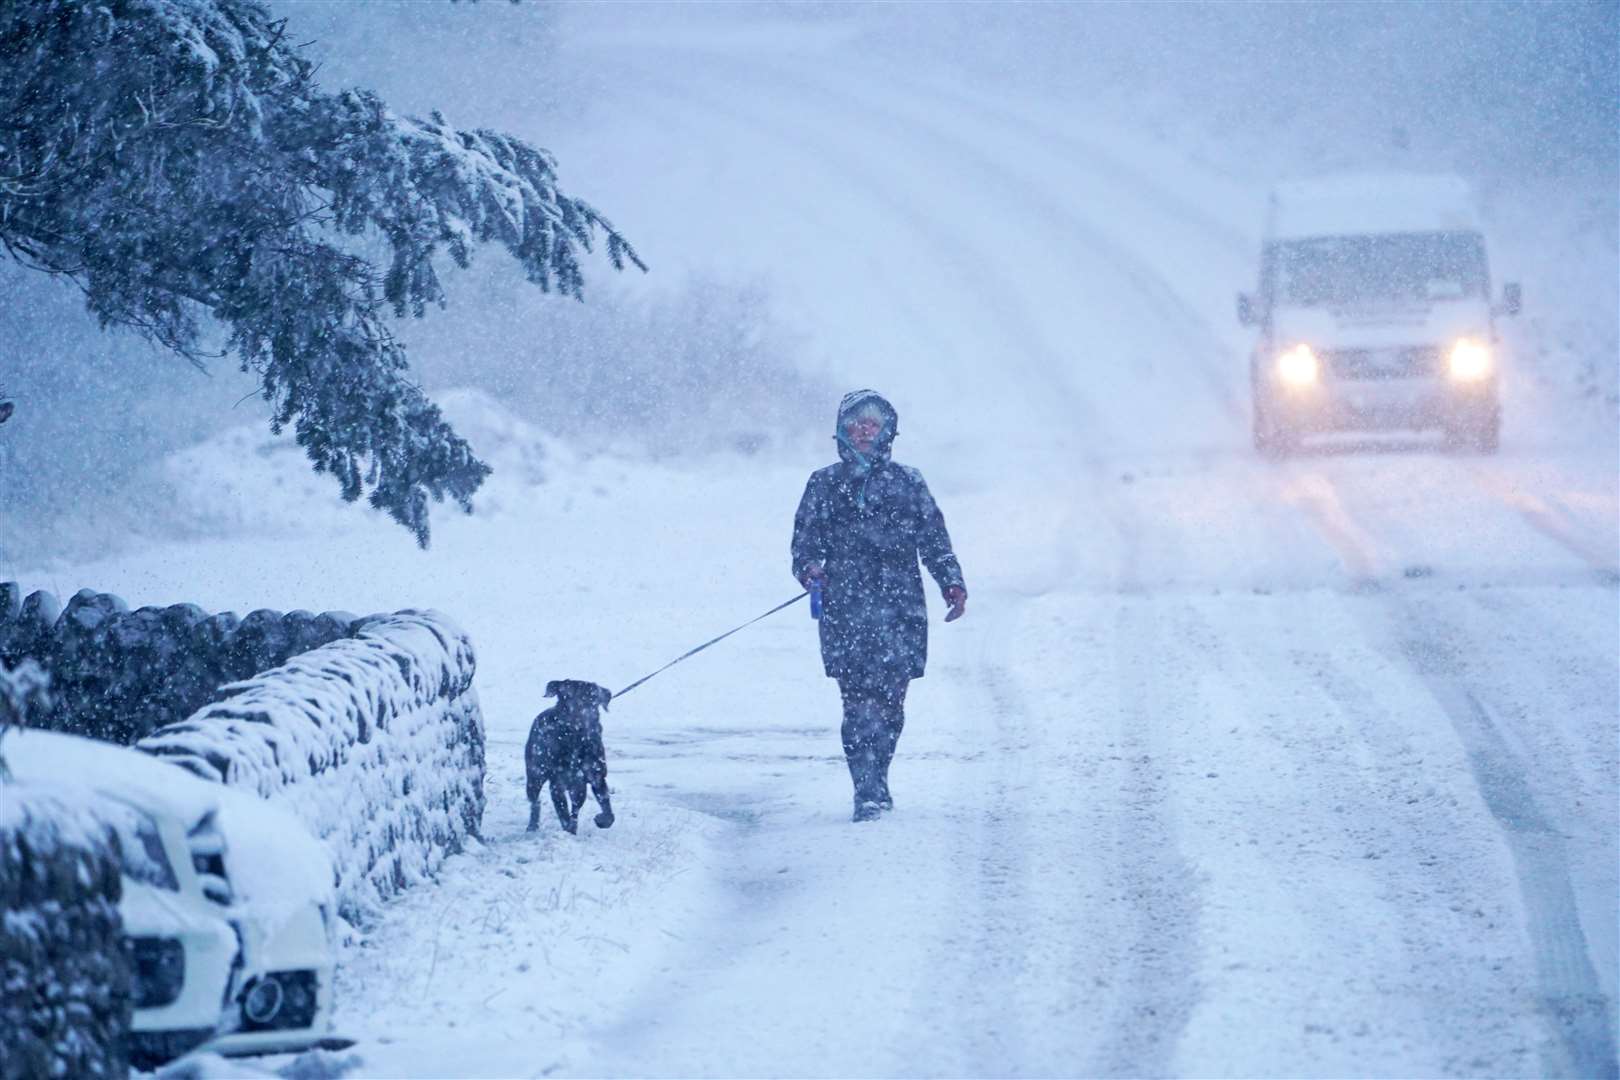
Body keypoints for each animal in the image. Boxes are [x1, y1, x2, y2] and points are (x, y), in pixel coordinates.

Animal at [524, 683, 612, 835]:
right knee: (535, 801)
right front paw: (567, 831)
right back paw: (533, 825)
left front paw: (602, 819)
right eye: (567, 697)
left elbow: (606, 805)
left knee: (576, 807)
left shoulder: (597, 775)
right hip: (535, 775)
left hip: (578, 786)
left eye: (593, 698)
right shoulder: (557, 783)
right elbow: (562, 811)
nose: (581, 717)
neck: (576, 740)